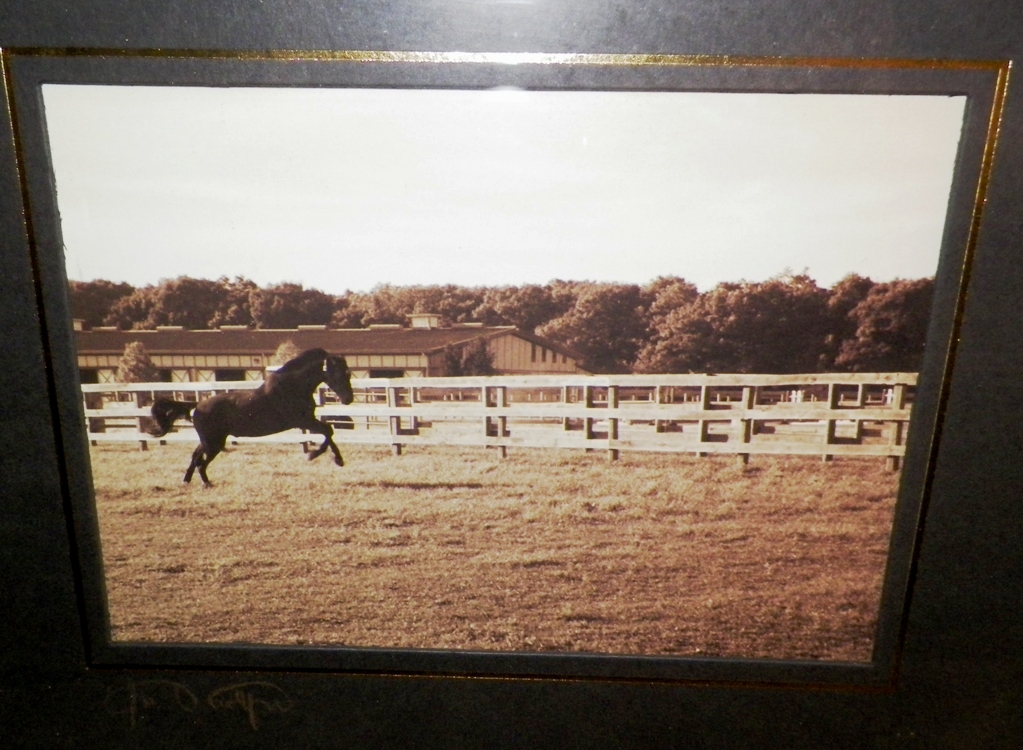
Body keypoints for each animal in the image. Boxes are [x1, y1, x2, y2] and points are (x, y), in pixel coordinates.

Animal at [147, 348, 354, 487]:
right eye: (337, 373)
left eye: (348, 373)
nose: (348, 399)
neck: (292, 387)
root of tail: (197, 406)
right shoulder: (302, 421)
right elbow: (328, 431)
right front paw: (315, 456)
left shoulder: (308, 421)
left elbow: (329, 432)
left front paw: (337, 460)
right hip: (214, 443)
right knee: (201, 462)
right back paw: (206, 483)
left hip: (210, 441)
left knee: (195, 456)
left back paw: (187, 480)